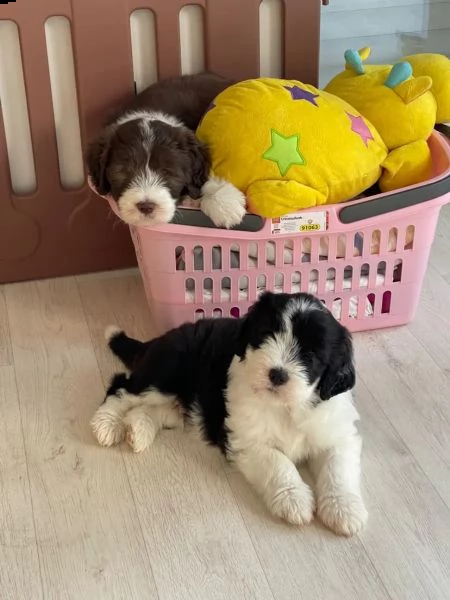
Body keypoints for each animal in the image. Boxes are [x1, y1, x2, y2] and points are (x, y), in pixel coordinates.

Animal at [92, 292, 370, 536]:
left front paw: (343, 509)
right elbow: (278, 462)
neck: (285, 407)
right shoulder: (244, 439)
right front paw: (294, 498)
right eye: (266, 336)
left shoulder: (336, 431)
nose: (277, 374)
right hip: (165, 374)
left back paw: (138, 430)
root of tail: (160, 339)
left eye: (310, 355)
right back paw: (105, 425)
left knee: (158, 409)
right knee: (121, 387)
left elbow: (337, 467)